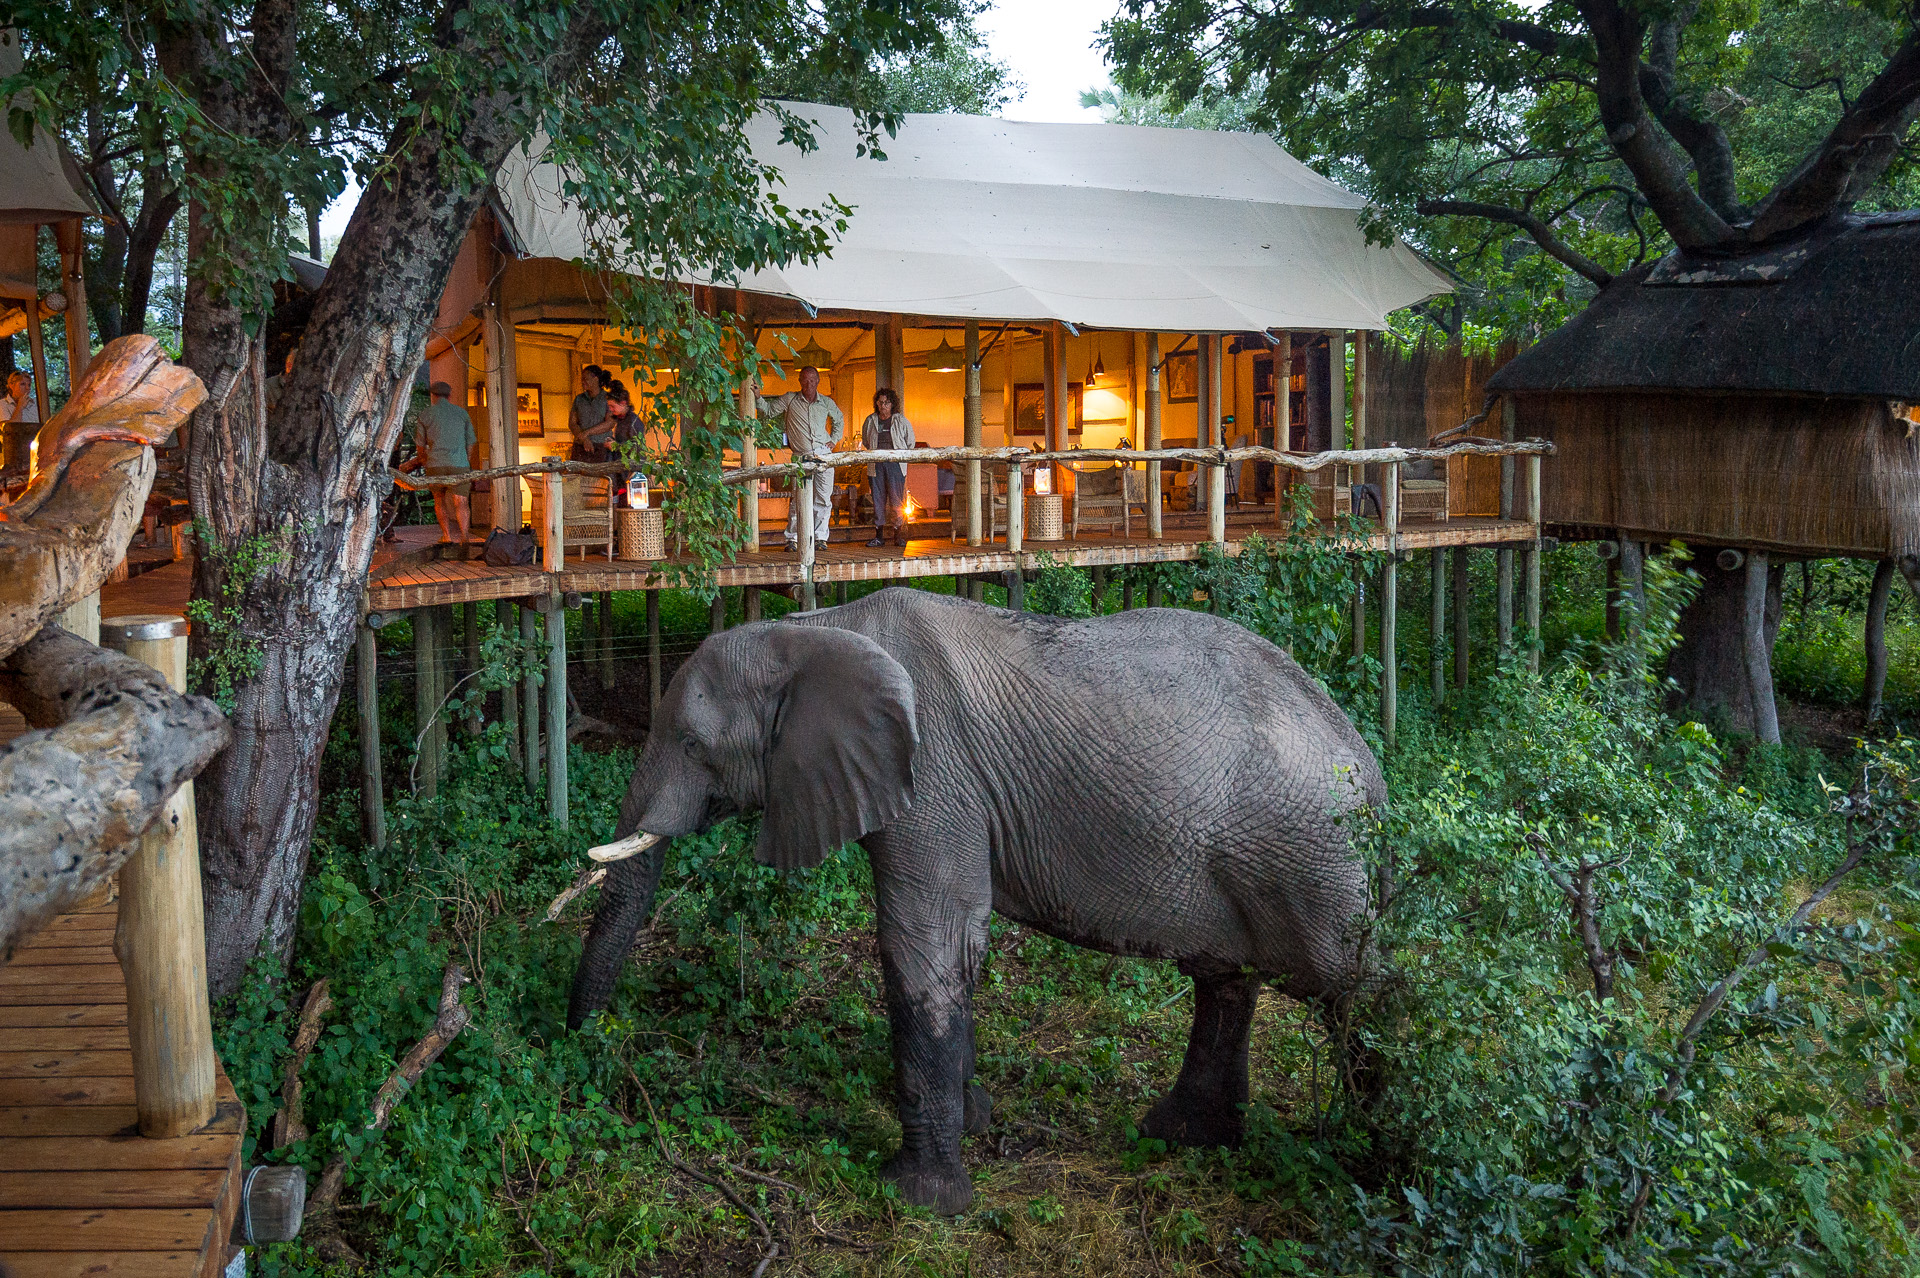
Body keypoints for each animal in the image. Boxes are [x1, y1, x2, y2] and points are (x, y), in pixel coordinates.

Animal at [568, 587, 1381, 1214]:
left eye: (693, 745)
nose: (579, 1047)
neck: (814, 629)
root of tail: (1368, 767)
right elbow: (961, 945)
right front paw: (977, 1121)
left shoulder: (934, 775)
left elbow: (924, 939)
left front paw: (919, 1199)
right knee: (1226, 980)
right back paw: (1181, 1139)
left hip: (1314, 860)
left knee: (1354, 991)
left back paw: (1364, 1159)